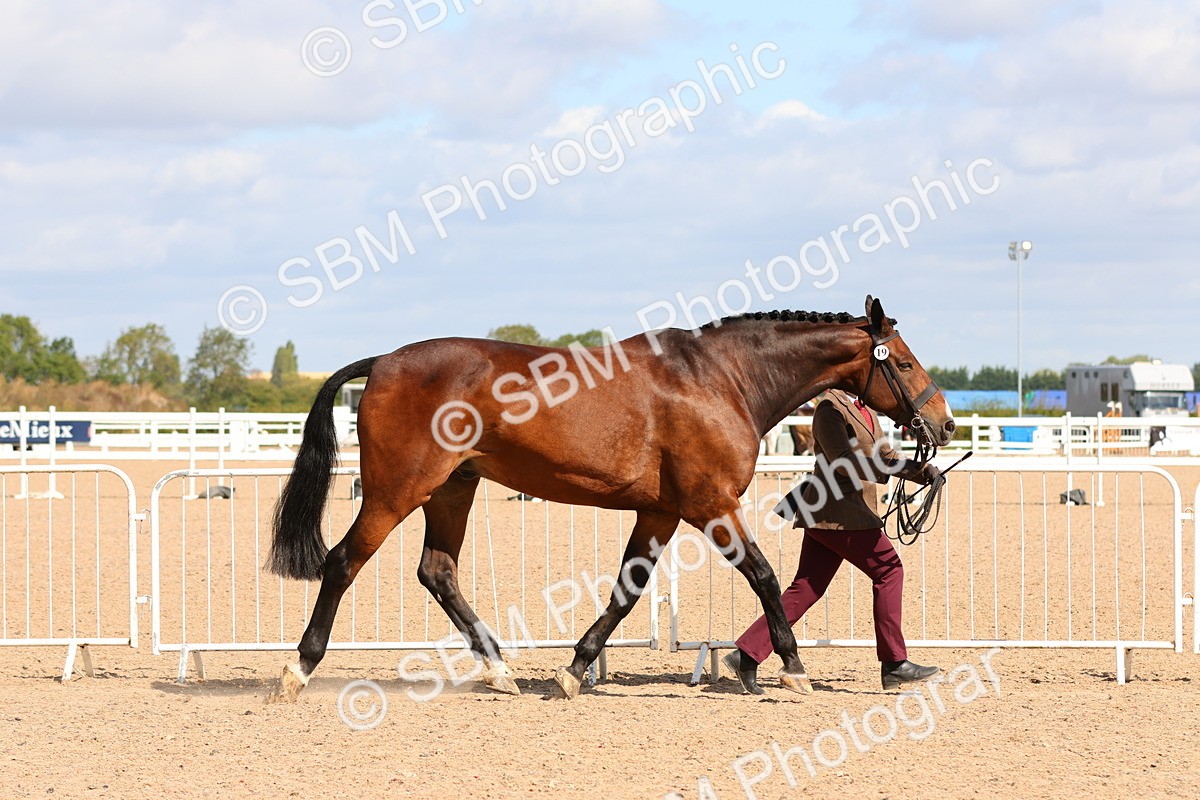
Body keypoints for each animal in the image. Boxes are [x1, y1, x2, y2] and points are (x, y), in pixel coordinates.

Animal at [264, 295, 954, 702]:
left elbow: (628, 589)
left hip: (453, 490)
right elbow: (762, 574)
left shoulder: (661, 512)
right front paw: (791, 667)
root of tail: (383, 361)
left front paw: (575, 670)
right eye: (906, 363)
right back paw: (297, 672)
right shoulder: (711, 506)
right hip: (396, 492)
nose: (944, 425)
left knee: (437, 571)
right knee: (342, 563)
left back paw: (501, 672)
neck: (722, 379)